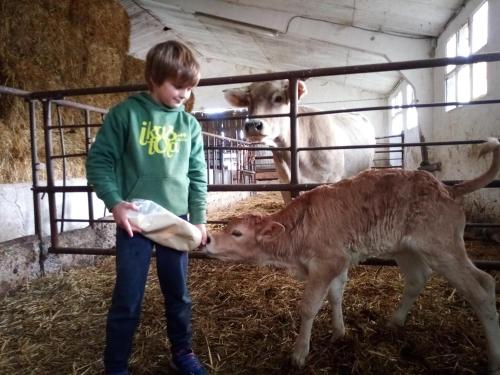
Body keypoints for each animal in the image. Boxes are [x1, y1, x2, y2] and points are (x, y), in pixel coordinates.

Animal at [205, 137, 500, 374]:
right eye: (228, 227)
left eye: (237, 233)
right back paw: (395, 321)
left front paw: (299, 353)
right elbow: (336, 296)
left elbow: (309, 307)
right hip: (409, 249)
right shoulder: (339, 261)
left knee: (481, 290)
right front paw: (339, 332)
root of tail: (447, 188)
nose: (208, 239)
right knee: (428, 279)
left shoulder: (326, 263)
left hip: (443, 249)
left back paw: (494, 361)